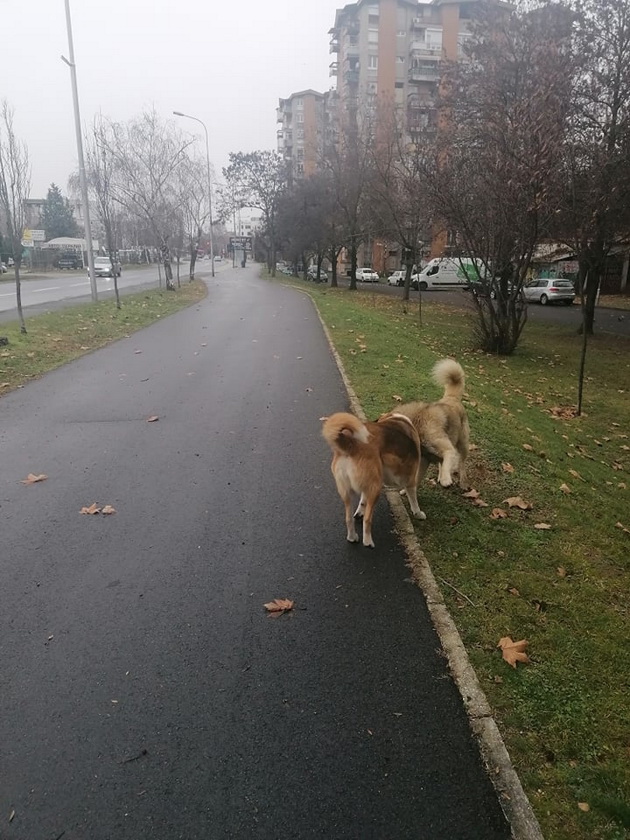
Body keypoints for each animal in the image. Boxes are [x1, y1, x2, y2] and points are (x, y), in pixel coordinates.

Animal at [324, 410, 428, 548]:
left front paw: (359, 512)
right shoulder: (410, 480)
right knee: (367, 519)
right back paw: (368, 541)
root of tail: (350, 444)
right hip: (376, 487)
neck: (398, 419)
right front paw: (418, 514)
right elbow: (414, 501)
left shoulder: (366, 485)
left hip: (346, 491)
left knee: (348, 518)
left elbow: (362, 500)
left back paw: (352, 537)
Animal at [398, 358, 472, 488]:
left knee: (461, 463)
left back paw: (462, 481)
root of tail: (452, 397)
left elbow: (448, 460)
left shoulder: (448, 449)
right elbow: (417, 478)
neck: (418, 425)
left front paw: (446, 479)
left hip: (463, 444)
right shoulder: (424, 460)